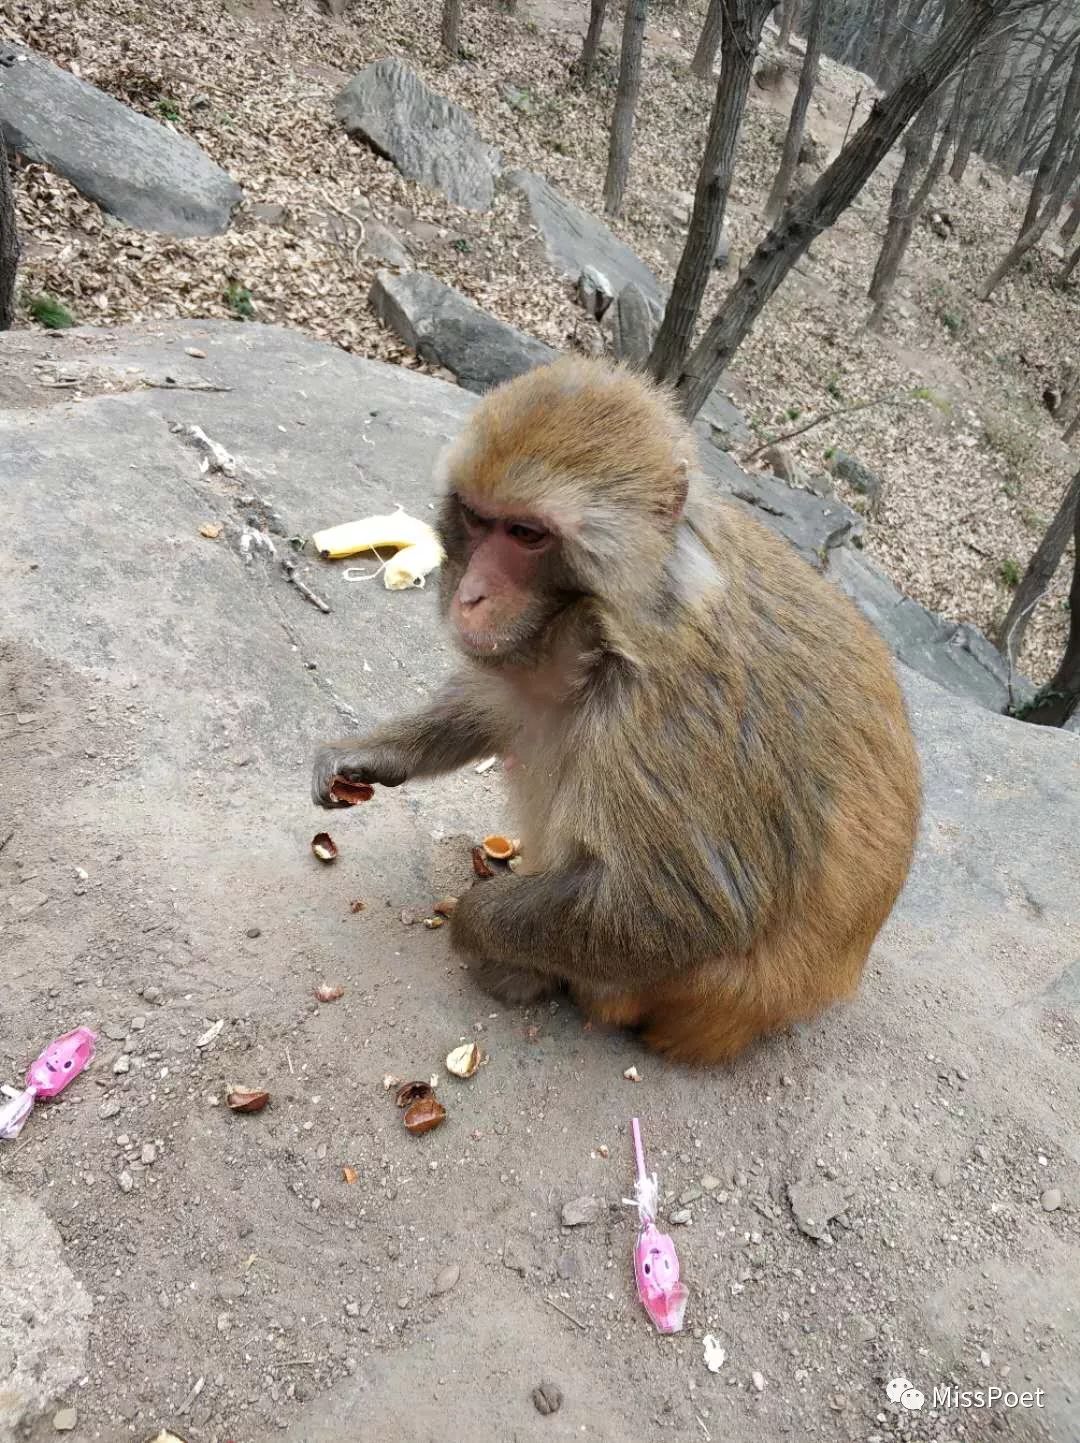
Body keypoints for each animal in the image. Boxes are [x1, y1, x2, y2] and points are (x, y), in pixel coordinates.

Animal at [310, 354, 918, 1067]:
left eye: (526, 534)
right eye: (479, 520)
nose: (470, 595)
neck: (608, 631)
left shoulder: (669, 716)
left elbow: (683, 912)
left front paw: (473, 925)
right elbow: (500, 705)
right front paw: (368, 755)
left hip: (687, 995)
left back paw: (523, 973)